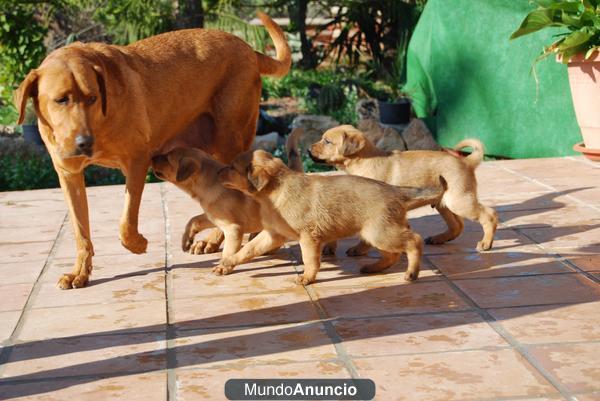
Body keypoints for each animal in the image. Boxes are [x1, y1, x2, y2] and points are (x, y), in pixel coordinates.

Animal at [15, 12, 292, 288]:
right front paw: (80, 272)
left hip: (228, 139)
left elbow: (126, 223)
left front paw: (138, 244)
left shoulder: (137, 161)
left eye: (93, 98)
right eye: (61, 100)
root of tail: (248, 48)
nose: (84, 143)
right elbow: (80, 231)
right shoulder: (69, 175)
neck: (100, 123)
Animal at [216, 148, 446, 282]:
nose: (217, 172)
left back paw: (412, 273)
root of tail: (396, 191)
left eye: (232, 167)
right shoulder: (273, 234)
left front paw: (307, 278)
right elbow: (247, 250)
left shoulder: (308, 237)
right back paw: (373, 268)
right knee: (393, 254)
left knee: (414, 241)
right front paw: (226, 264)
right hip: (378, 233)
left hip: (380, 233)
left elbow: (309, 260)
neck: (276, 191)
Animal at [308, 123, 500, 252]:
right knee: (457, 225)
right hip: (444, 203)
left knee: (489, 215)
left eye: (327, 141)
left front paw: (359, 250)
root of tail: (466, 162)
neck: (363, 160)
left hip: (459, 201)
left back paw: (486, 243)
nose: (308, 150)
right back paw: (439, 239)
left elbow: (366, 237)